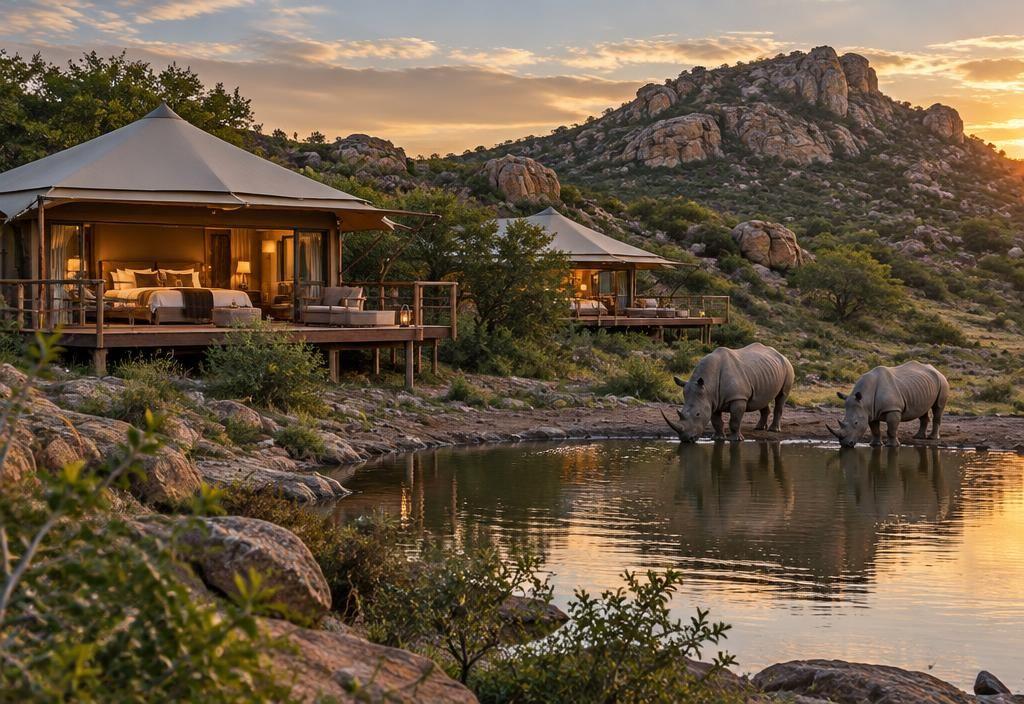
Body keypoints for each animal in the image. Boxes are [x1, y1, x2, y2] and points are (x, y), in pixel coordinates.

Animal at [662, 343, 794, 442]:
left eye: (698, 414)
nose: (686, 439)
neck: (708, 386)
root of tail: (781, 354)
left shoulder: (738, 398)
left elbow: (735, 420)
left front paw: (736, 439)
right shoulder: (712, 400)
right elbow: (716, 421)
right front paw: (718, 438)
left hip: (788, 367)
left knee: (781, 396)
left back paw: (773, 430)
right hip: (764, 372)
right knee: (762, 398)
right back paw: (759, 428)